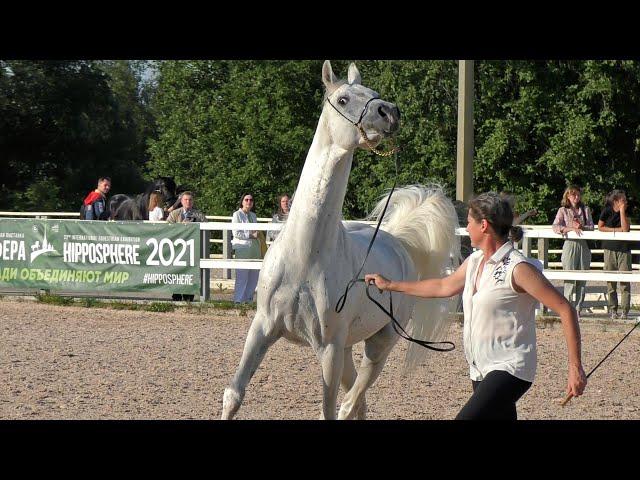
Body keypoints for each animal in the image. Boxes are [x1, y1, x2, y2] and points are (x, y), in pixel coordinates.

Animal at [221, 61, 460, 420]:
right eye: (344, 99)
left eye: (374, 93)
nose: (389, 112)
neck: (305, 256)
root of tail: (399, 243)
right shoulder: (262, 328)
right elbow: (234, 393)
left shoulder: (329, 348)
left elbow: (329, 410)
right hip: (348, 349)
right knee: (358, 402)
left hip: (378, 344)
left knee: (353, 399)